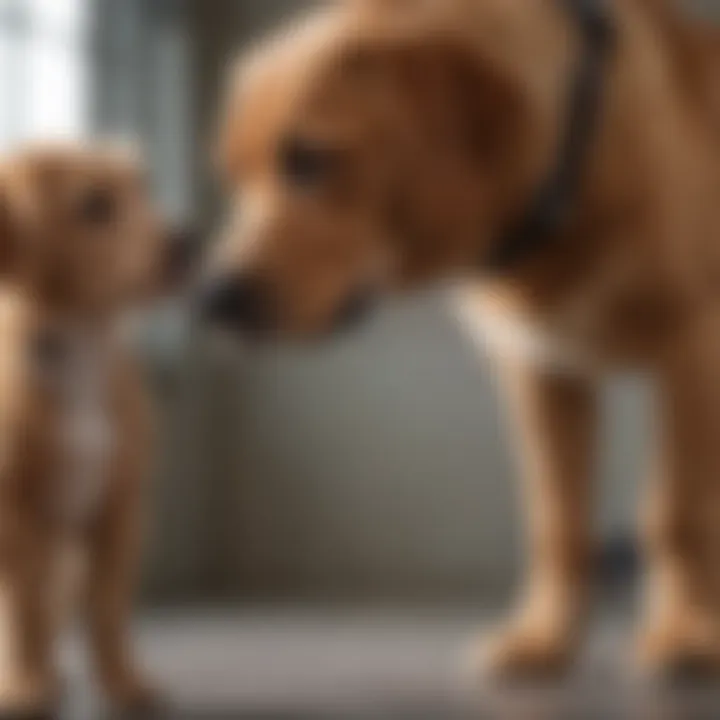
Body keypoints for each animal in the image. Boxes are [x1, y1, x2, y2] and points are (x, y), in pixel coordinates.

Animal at [0, 146, 173, 716]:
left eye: (145, 190)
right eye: (94, 206)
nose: (186, 241)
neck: (83, 342)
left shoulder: (122, 512)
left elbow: (108, 615)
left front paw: (123, 685)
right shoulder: (18, 516)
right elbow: (25, 611)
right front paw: (27, 687)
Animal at [200, 0, 720, 676]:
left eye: (310, 159)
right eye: (232, 176)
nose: (211, 299)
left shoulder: (691, 352)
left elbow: (676, 512)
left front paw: (685, 629)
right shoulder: (539, 371)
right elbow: (556, 518)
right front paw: (543, 636)